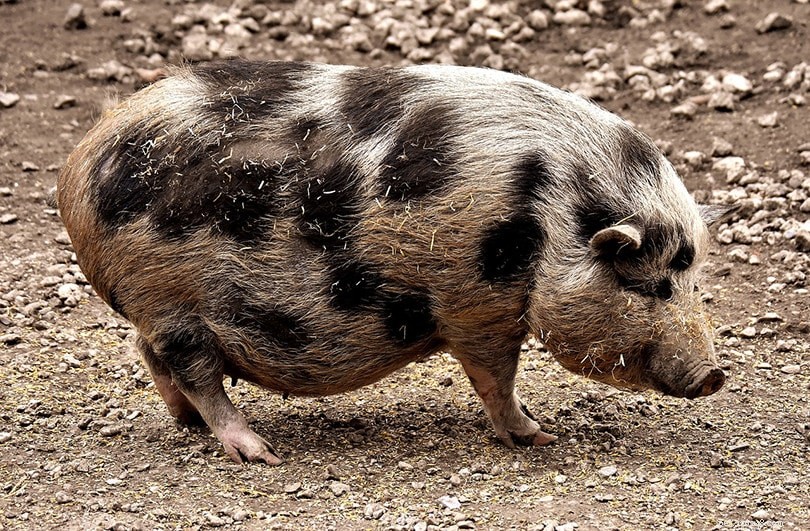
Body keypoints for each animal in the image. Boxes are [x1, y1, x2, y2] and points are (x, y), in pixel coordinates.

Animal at [57, 60, 727, 465]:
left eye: (693, 279)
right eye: (652, 284)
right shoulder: (475, 304)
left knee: (153, 356)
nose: (714, 376)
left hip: (159, 308)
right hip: (171, 300)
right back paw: (259, 450)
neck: (547, 221)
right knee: (194, 371)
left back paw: (188, 425)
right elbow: (494, 376)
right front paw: (538, 436)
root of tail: (79, 165)